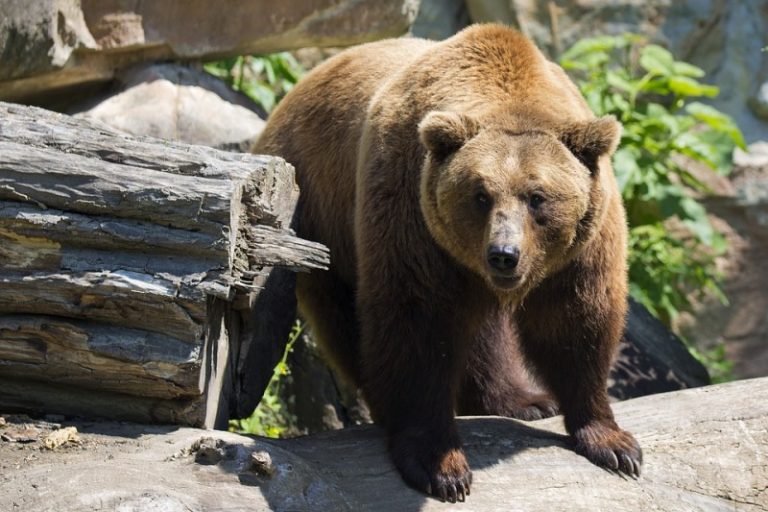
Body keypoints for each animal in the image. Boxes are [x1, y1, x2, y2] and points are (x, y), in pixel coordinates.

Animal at [254, 24, 642, 501]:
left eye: (537, 197)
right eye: (480, 195)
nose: (504, 255)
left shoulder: (581, 248)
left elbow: (576, 321)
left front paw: (613, 443)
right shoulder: (411, 213)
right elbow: (418, 325)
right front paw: (440, 465)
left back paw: (525, 400)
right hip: (321, 219)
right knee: (348, 322)